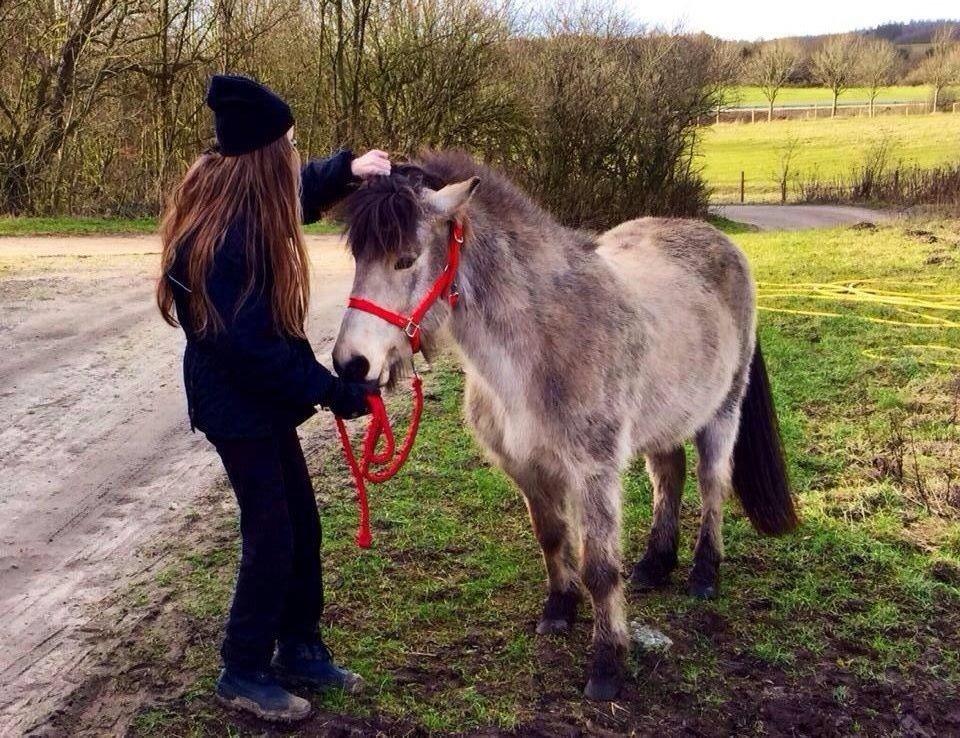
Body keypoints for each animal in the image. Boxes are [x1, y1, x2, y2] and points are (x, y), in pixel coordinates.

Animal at [330, 150, 796, 696]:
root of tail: (719, 240)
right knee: (670, 475)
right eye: (359, 259)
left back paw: (704, 574)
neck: (537, 346)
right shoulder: (527, 467)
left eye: (405, 258)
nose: (351, 364)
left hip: (722, 412)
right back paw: (655, 565)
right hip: (665, 417)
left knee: (711, 485)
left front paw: (607, 664)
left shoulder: (593, 471)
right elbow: (552, 536)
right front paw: (559, 609)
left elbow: (599, 567)